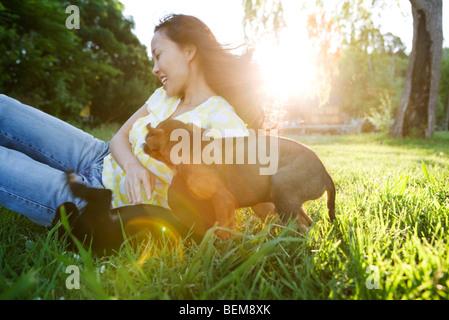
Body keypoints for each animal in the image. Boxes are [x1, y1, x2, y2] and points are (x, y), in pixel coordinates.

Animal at [144, 120, 336, 238]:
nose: (142, 144)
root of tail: (325, 174)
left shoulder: (224, 200)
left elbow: (223, 230)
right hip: (286, 203)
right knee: (308, 223)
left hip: (281, 190)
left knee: (302, 229)